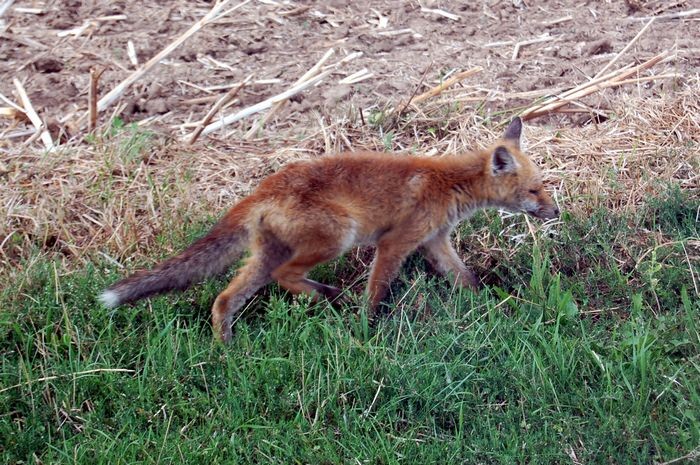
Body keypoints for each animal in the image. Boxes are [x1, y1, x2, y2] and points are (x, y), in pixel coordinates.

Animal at [100, 117, 559, 342]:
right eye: (535, 189)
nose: (556, 211)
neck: (449, 183)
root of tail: (262, 188)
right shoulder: (395, 243)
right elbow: (377, 291)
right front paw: (367, 330)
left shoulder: (435, 242)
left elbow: (467, 280)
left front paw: (494, 307)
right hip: (338, 236)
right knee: (286, 277)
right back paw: (328, 296)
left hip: (266, 255)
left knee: (225, 298)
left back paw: (225, 350)